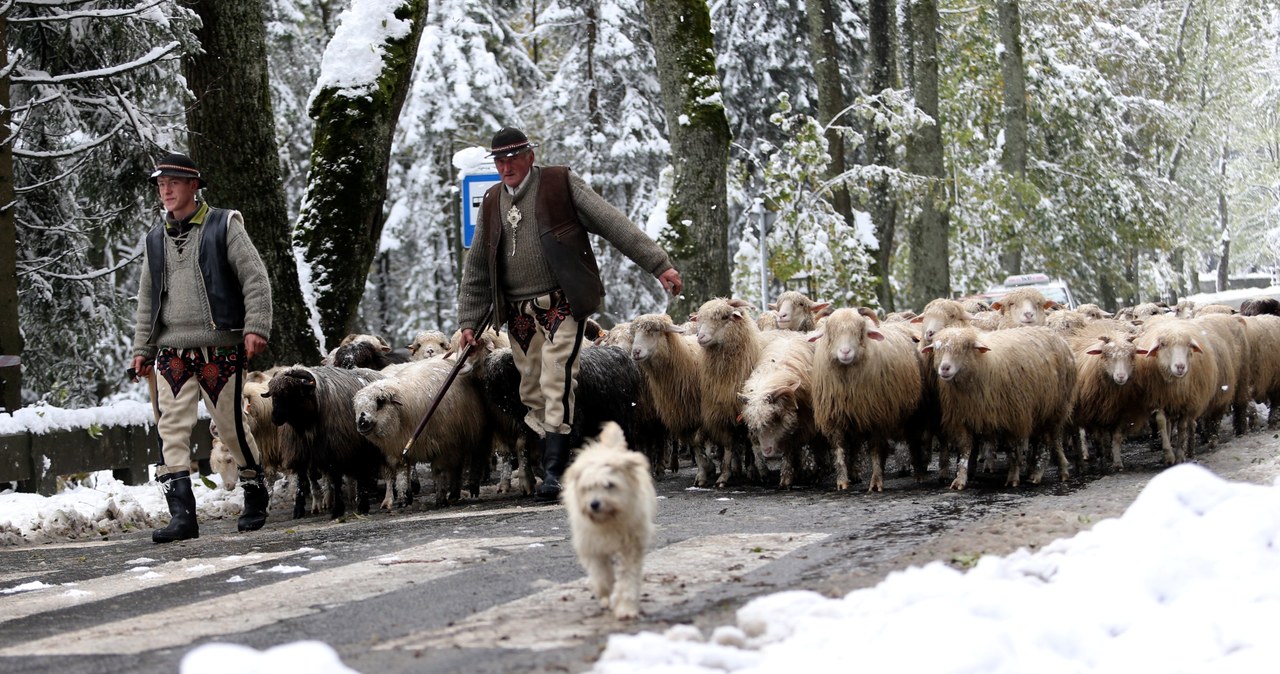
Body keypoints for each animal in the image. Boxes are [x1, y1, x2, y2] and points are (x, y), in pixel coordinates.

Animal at [563, 424, 655, 619]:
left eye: (609, 485)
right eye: (587, 488)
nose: (594, 504)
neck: (609, 520)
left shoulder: (631, 547)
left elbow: (628, 577)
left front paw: (626, 608)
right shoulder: (593, 547)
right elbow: (601, 575)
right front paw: (607, 594)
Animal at [926, 326, 1075, 491]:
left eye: (965, 347)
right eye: (937, 349)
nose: (944, 368)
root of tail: (1057, 336)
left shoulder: (1013, 417)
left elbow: (1013, 450)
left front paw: (1013, 478)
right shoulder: (964, 418)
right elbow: (965, 450)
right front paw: (960, 479)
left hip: (1055, 408)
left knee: (1049, 443)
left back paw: (1047, 473)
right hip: (1040, 411)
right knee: (1045, 441)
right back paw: (1043, 472)